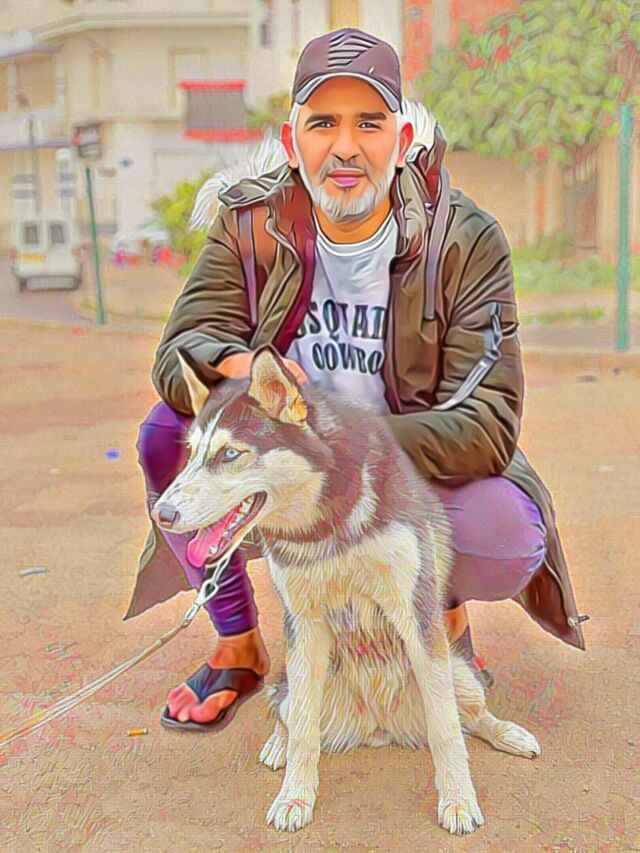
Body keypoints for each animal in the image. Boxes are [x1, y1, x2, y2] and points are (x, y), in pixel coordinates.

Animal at [153, 345, 541, 835]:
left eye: (230, 454)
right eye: (191, 455)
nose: (161, 514)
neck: (326, 527)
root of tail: (380, 727)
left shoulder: (415, 616)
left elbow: (446, 728)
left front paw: (457, 799)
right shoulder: (303, 623)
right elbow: (303, 729)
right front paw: (295, 797)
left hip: (461, 673)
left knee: (471, 716)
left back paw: (509, 733)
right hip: (292, 679)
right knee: (289, 713)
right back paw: (278, 745)